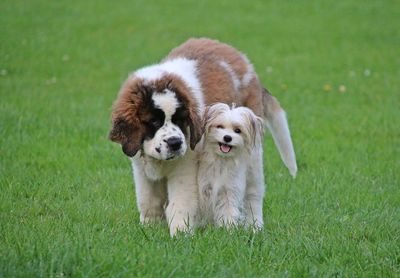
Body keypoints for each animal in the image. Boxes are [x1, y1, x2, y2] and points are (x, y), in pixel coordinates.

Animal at [109, 37, 296, 237]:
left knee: (254, 191)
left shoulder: (185, 166)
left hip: (252, 150)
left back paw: (254, 226)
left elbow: (180, 201)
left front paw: (181, 233)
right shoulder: (140, 167)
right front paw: (150, 229)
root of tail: (245, 62)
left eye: (181, 119)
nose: (175, 143)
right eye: (154, 121)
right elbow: (148, 200)